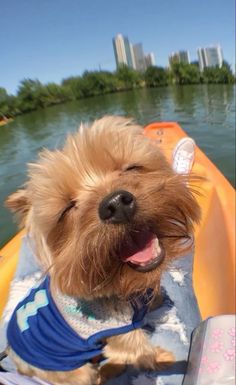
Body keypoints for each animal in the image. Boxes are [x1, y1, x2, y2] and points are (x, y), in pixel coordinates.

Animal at [5, 115, 200, 382]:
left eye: (131, 168)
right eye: (67, 209)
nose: (116, 204)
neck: (119, 283)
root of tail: (17, 359)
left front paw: (156, 298)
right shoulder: (114, 331)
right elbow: (137, 350)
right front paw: (160, 358)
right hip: (70, 371)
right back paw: (109, 370)